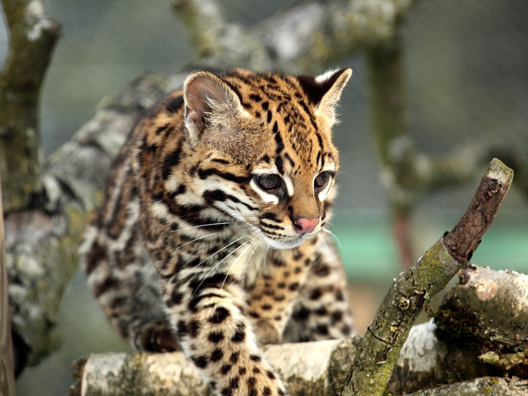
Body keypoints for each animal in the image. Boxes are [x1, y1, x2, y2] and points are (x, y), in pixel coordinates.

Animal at [81, 66, 354, 394]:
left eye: (322, 179)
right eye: (269, 182)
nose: (308, 224)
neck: (245, 226)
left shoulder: (318, 221)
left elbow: (285, 267)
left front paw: (262, 317)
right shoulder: (192, 275)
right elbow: (226, 345)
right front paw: (261, 386)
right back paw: (153, 330)